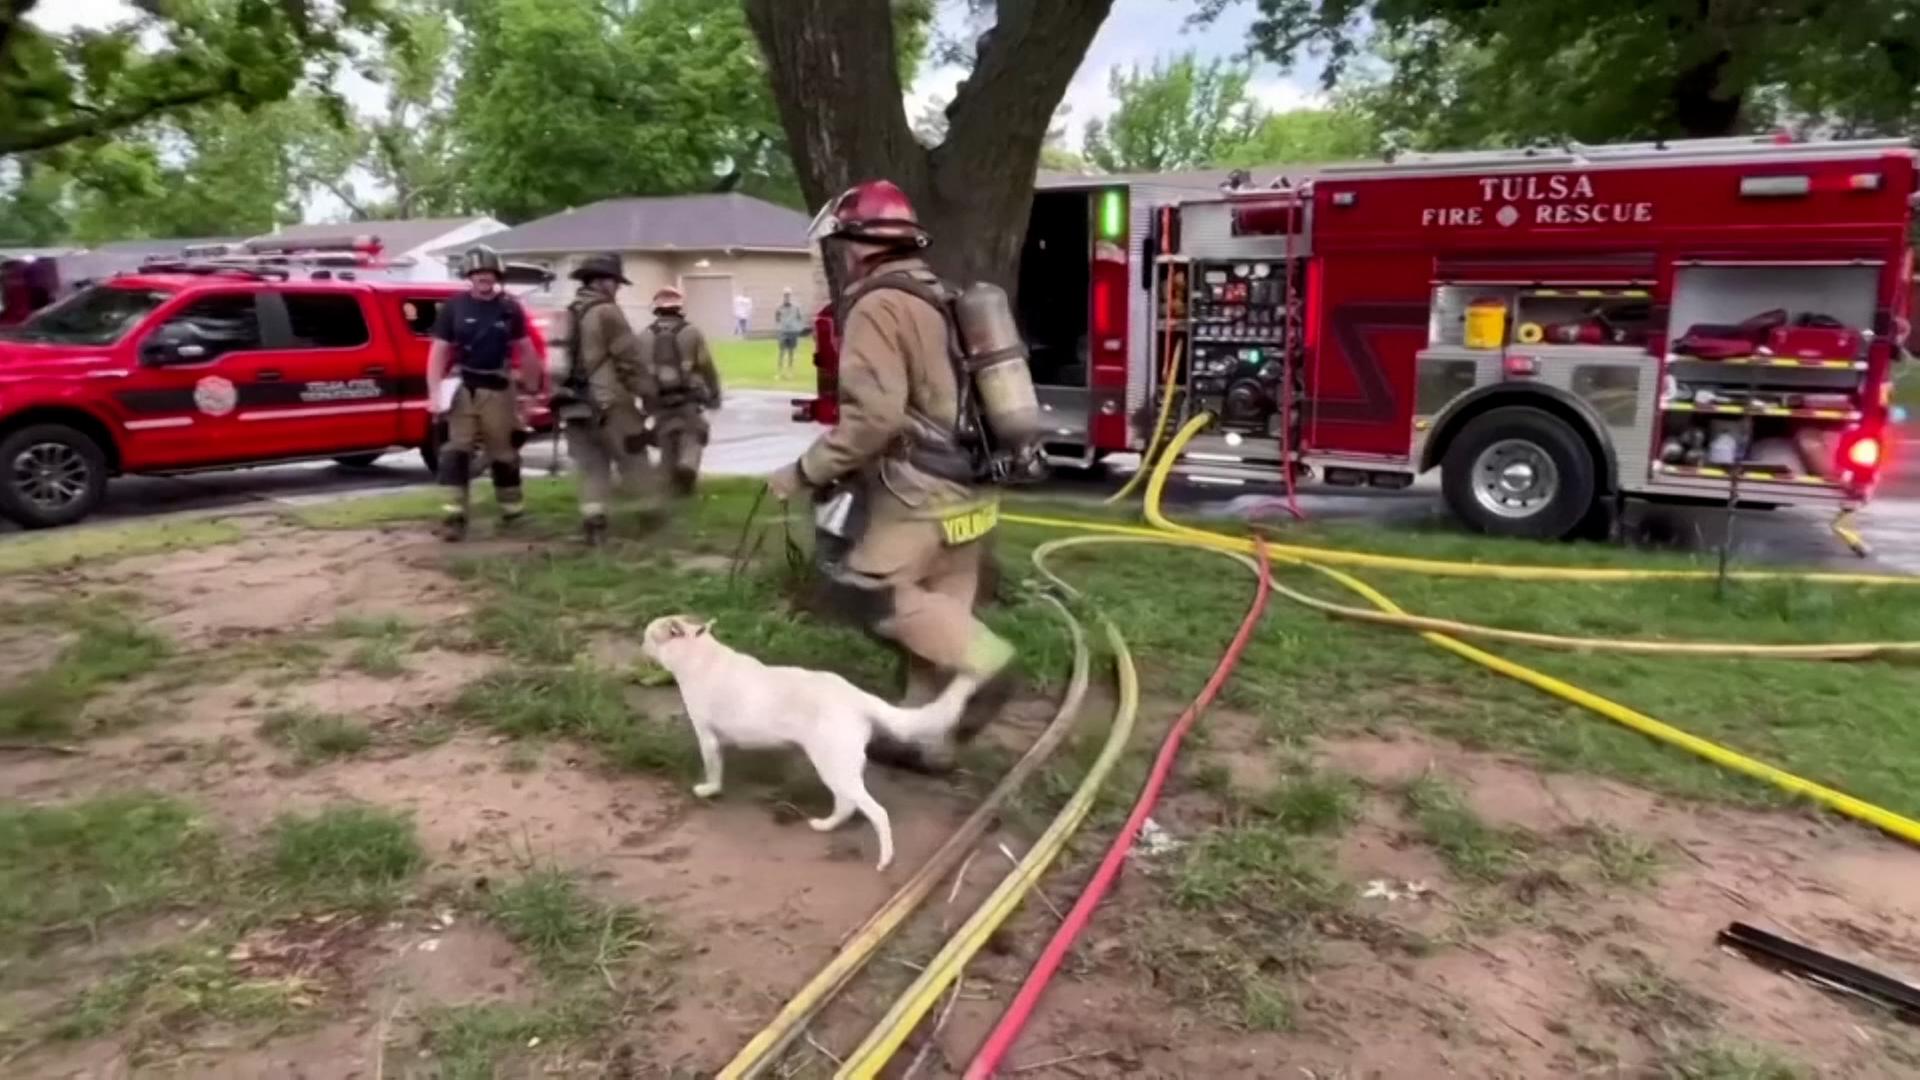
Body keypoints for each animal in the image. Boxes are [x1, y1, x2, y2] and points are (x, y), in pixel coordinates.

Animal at [641, 611, 983, 868]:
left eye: (648, 636)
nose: (641, 643)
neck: (700, 656)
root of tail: (858, 695)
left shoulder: (707, 737)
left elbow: (713, 772)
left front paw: (708, 790)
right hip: (838, 769)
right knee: (847, 805)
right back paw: (825, 825)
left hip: (834, 767)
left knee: (874, 811)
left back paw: (884, 860)